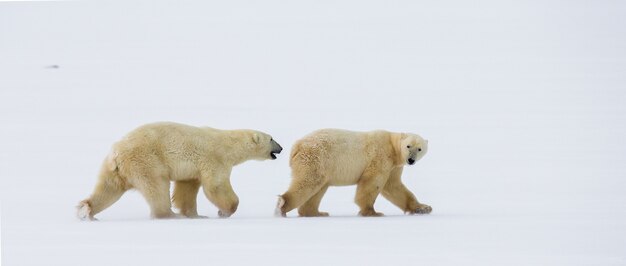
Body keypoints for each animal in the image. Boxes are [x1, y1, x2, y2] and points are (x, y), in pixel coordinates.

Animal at [77, 121, 282, 219]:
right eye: (271, 138)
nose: (281, 148)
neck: (228, 144)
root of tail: (117, 153)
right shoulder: (215, 158)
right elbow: (216, 186)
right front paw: (224, 212)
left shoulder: (193, 169)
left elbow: (187, 188)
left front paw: (196, 215)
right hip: (146, 160)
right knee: (157, 186)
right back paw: (169, 215)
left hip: (115, 169)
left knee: (108, 189)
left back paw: (87, 212)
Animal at [274, 129, 428, 218]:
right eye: (408, 146)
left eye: (419, 149)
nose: (411, 160)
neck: (392, 146)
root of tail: (297, 146)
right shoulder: (380, 156)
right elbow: (372, 183)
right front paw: (372, 212)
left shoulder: (394, 166)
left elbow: (394, 186)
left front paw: (423, 208)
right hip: (316, 158)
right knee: (308, 182)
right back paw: (282, 207)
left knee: (318, 189)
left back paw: (316, 213)